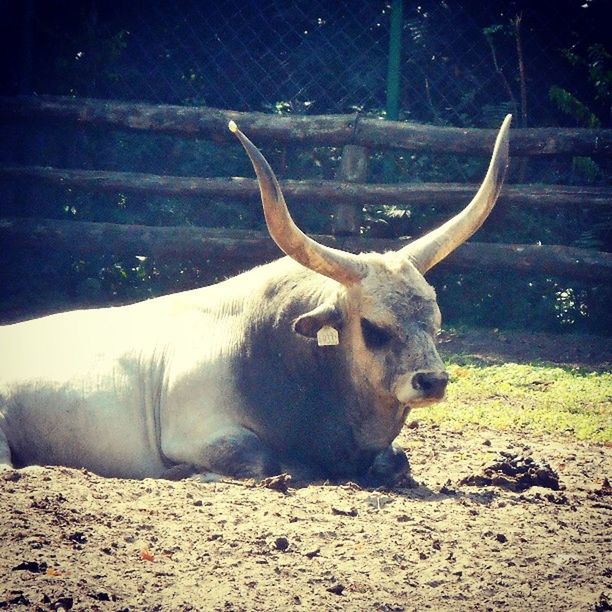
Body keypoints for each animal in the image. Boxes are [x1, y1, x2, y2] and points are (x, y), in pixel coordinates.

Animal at [0, 117, 512, 486]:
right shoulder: (200, 432)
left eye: (436, 322)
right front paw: (192, 474)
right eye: (373, 326)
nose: (432, 381)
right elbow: (263, 462)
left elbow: (397, 461)